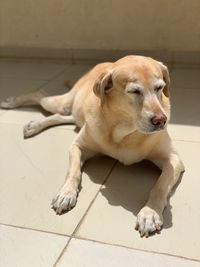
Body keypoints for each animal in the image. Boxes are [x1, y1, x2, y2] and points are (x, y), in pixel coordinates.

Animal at [0, 56, 184, 237]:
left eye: (160, 88)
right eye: (134, 91)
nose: (161, 120)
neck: (125, 132)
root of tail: (104, 63)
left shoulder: (173, 160)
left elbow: (160, 186)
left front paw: (150, 213)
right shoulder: (77, 146)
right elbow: (73, 171)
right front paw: (66, 194)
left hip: (72, 112)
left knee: (61, 116)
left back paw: (35, 125)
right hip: (61, 103)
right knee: (40, 94)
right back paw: (13, 103)